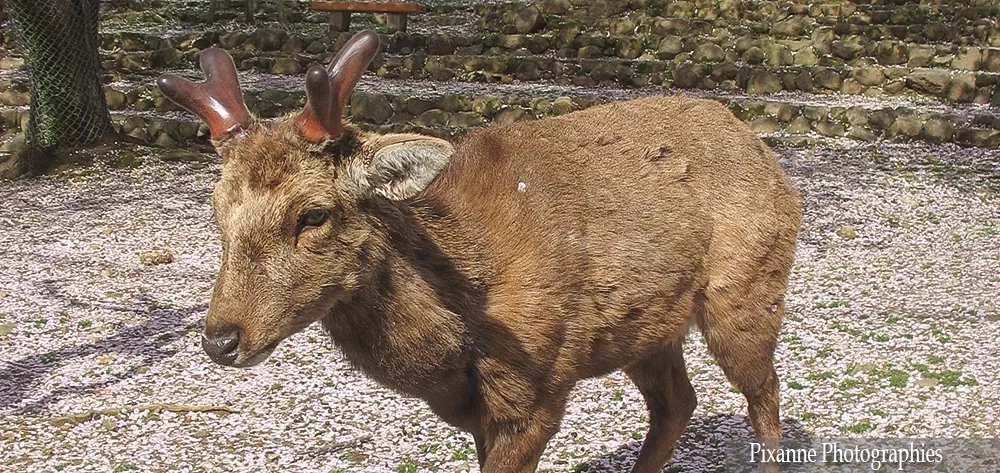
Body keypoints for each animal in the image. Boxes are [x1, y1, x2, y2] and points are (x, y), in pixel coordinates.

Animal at [157, 30, 801, 473]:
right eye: (217, 209)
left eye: (313, 214)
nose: (221, 339)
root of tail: (755, 142)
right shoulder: (474, 411)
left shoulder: (539, 389)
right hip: (645, 327)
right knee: (677, 403)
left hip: (749, 290)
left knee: (766, 394)